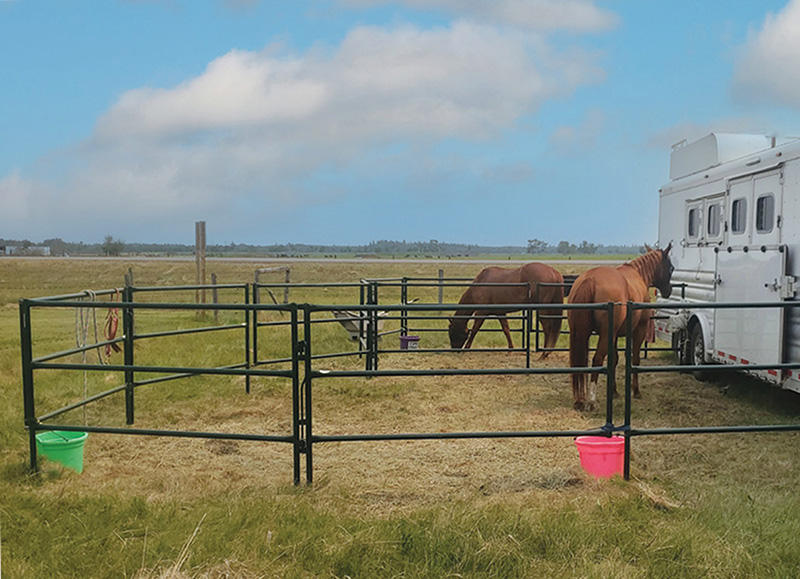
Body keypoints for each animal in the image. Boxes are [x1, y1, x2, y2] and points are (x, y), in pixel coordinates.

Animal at [564, 242, 672, 410]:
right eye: (671, 268)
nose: (669, 290)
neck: (638, 274)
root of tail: (590, 279)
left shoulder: (614, 336)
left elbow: (614, 359)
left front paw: (614, 392)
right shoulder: (639, 330)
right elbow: (635, 359)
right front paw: (636, 391)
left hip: (581, 334)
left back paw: (580, 400)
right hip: (604, 335)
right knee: (597, 360)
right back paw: (592, 400)